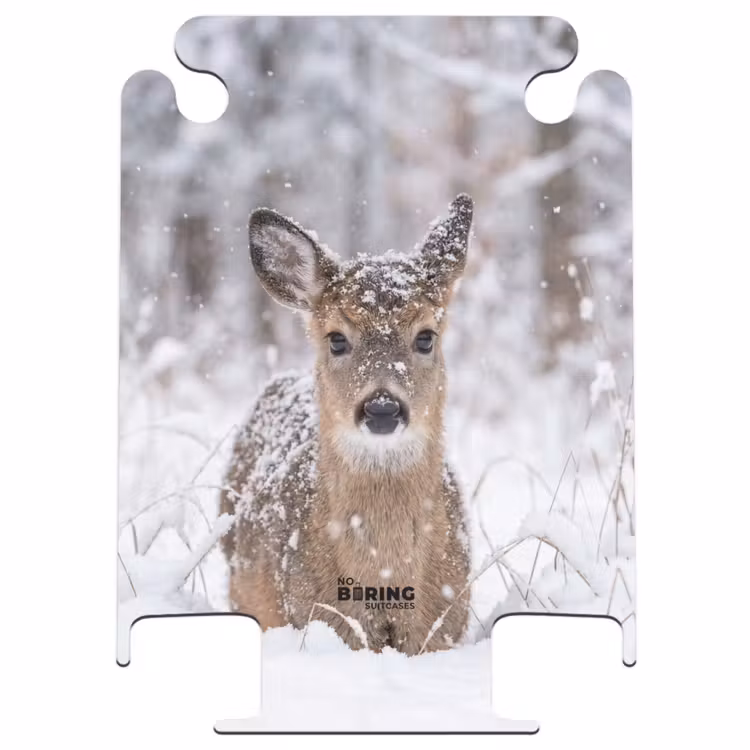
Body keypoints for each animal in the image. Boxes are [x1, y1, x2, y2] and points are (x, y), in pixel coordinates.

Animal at [219, 194, 474, 655]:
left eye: (426, 336)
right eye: (337, 338)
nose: (382, 408)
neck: (385, 580)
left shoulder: (446, 623)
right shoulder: (316, 615)